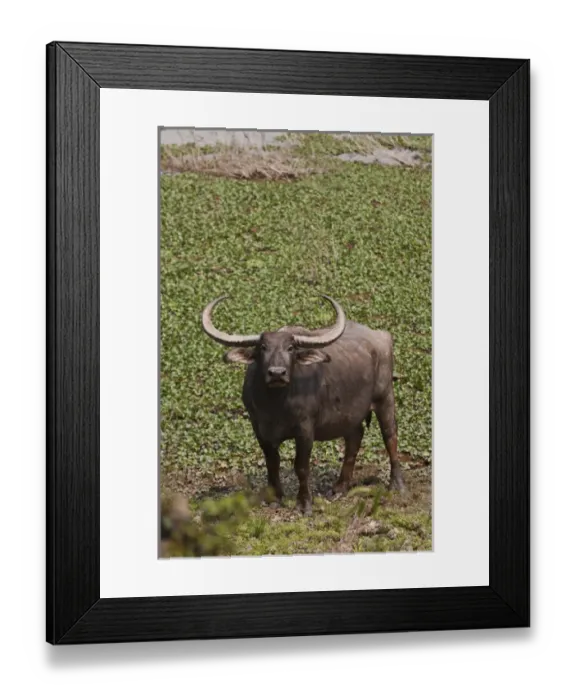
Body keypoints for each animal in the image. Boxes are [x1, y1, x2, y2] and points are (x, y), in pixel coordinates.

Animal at [201, 294, 405, 515]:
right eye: (262, 348)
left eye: (290, 348)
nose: (277, 373)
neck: (276, 406)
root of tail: (382, 336)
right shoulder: (259, 429)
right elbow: (272, 463)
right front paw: (275, 497)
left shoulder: (305, 429)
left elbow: (301, 467)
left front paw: (304, 503)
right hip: (350, 414)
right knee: (354, 438)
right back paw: (340, 486)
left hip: (385, 397)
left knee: (390, 436)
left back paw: (396, 484)